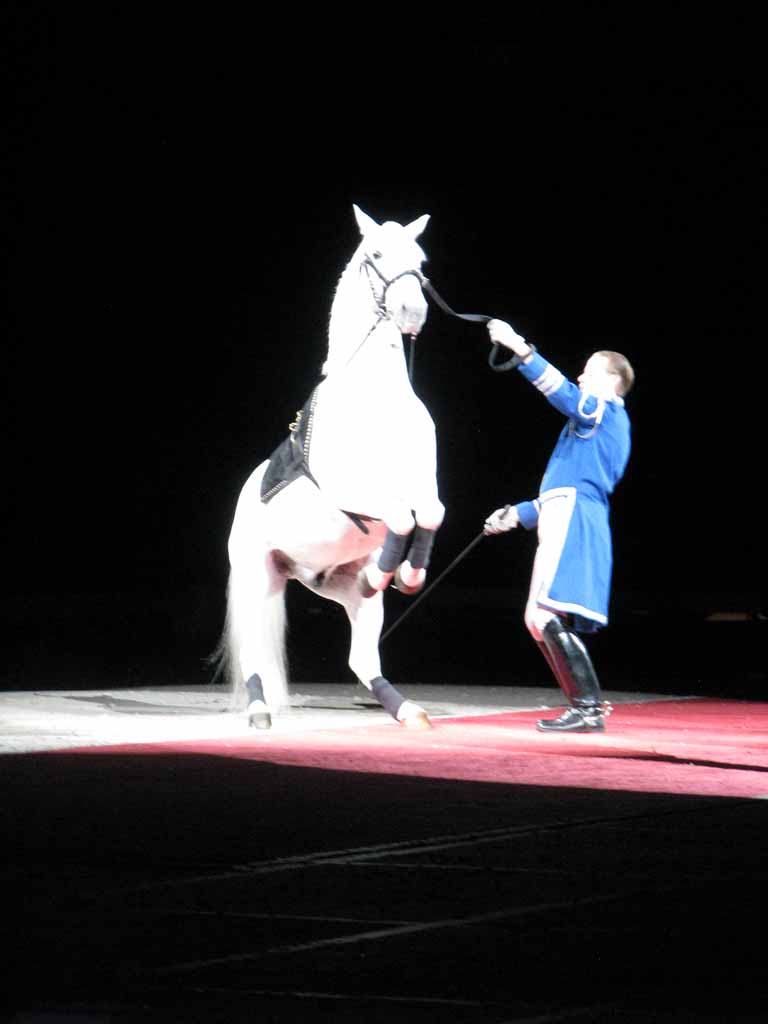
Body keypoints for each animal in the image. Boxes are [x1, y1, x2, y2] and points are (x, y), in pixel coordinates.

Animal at [215, 205, 444, 729]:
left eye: (421, 259)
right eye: (375, 254)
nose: (413, 313)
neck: (375, 396)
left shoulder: (423, 484)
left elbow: (429, 514)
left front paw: (405, 576)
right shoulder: (351, 492)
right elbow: (401, 517)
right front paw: (397, 574)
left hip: (328, 582)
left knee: (361, 658)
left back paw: (407, 708)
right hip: (257, 574)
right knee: (254, 650)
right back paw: (259, 712)